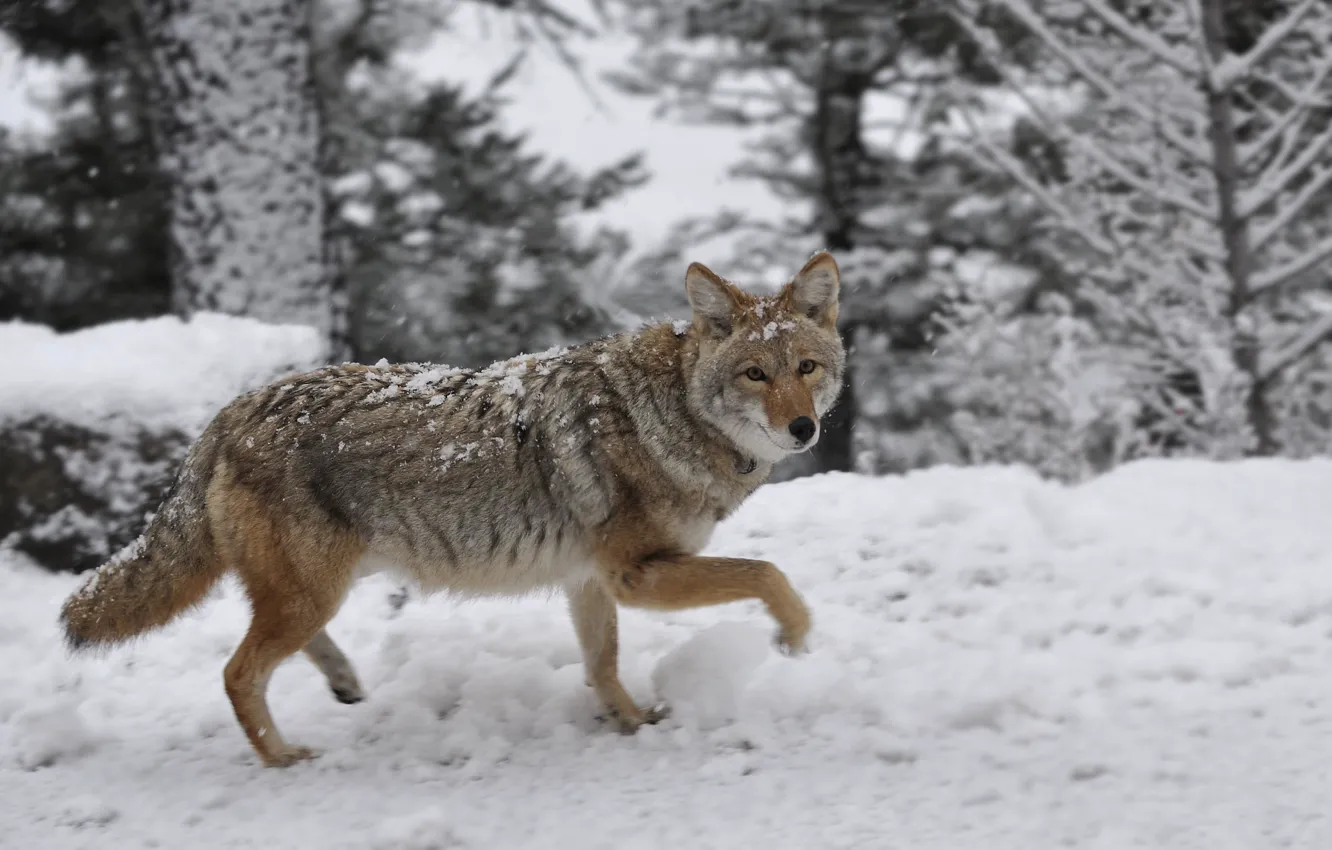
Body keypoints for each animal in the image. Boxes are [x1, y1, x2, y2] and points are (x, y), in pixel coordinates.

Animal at [60, 251, 846, 767]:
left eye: (806, 369)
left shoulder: (589, 580)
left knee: (276, 647)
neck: (674, 413)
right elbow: (768, 573)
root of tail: (230, 411)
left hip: (319, 589)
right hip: (313, 592)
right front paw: (795, 641)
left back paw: (344, 684)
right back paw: (284, 757)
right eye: (755, 374)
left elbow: (602, 665)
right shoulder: (636, 575)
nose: (803, 429)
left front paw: (628, 721)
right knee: (237, 672)